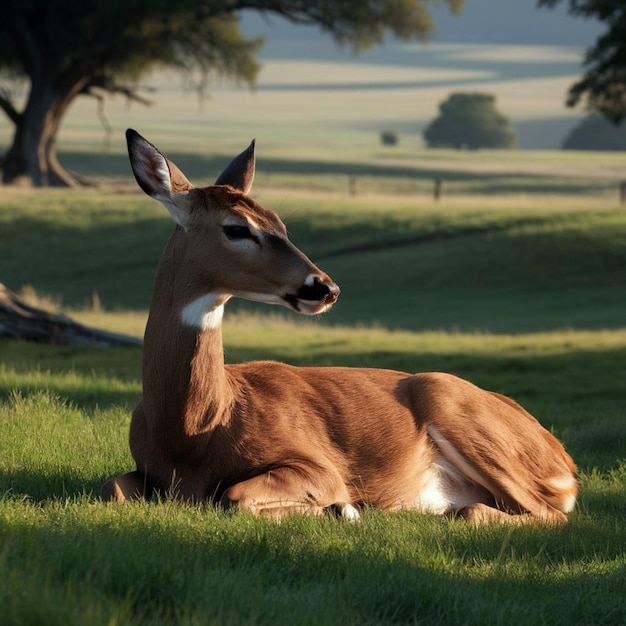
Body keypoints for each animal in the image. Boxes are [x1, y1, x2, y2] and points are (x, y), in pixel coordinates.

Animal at [100, 130, 576, 520]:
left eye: (281, 224)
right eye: (236, 228)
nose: (325, 286)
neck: (194, 431)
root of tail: (566, 464)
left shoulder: (319, 465)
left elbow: (233, 496)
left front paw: (341, 508)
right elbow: (112, 488)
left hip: (458, 410)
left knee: (543, 513)